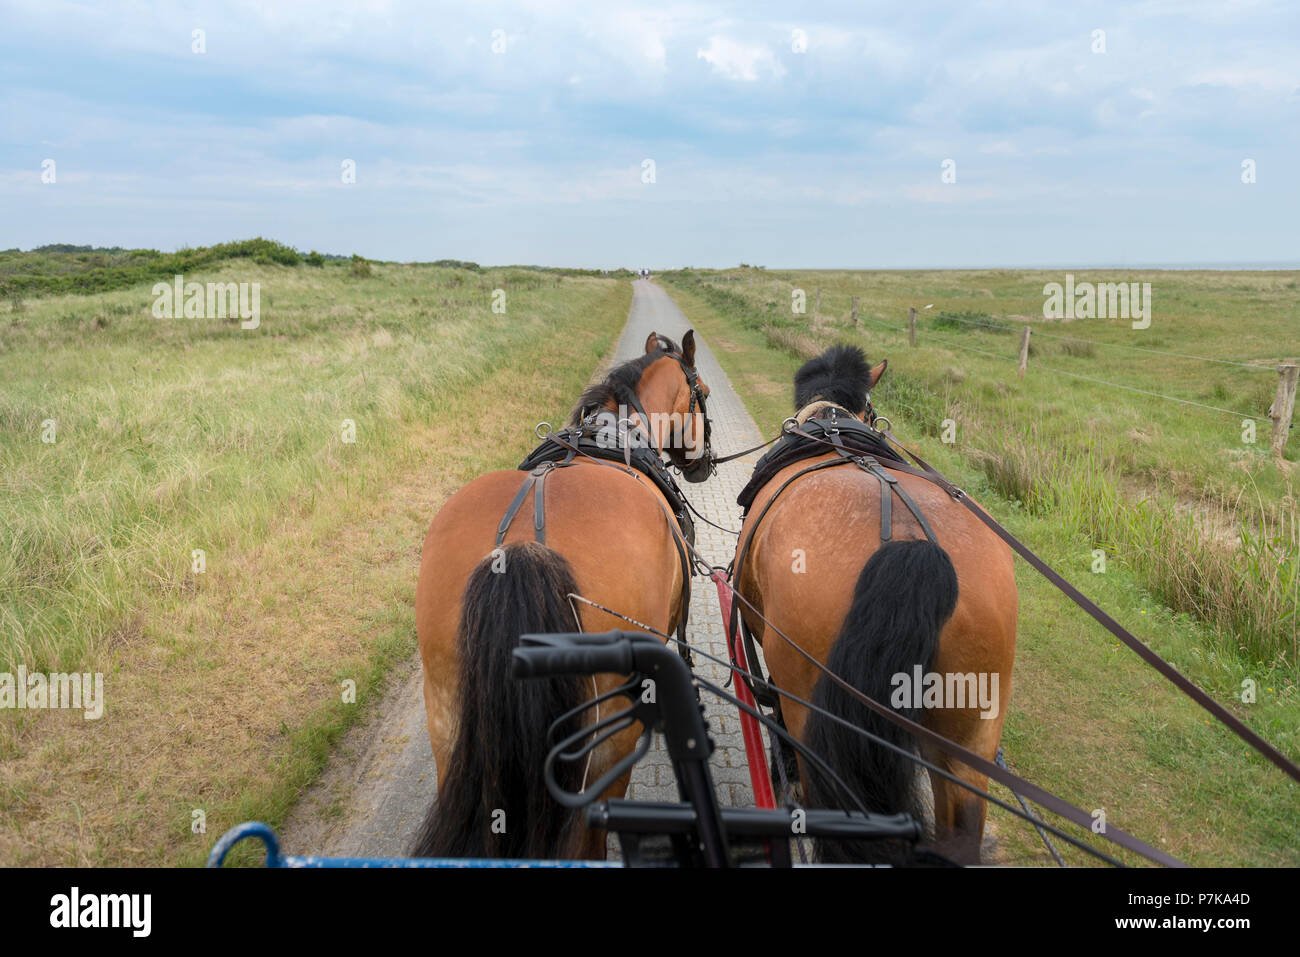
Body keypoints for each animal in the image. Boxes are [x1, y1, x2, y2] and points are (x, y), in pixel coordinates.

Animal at [408, 328, 712, 858]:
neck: (619, 432)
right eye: (705, 394)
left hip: (448, 723)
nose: (706, 465)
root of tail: (522, 547)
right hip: (608, 738)